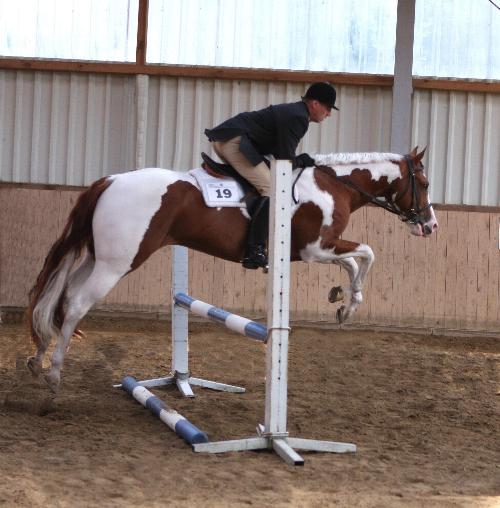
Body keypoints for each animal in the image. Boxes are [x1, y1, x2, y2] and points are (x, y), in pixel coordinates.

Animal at [27, 147, 438, 392]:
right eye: (425, 183)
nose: (430, 226)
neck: (332, 185)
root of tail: (108, 181)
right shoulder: (316, 247)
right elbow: (367, 254)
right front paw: (348, 303)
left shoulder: (319, 249)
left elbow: (355, 261)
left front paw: (341, 301)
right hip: (118, 262)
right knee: (77, 304)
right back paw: (54, 374)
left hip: (98, 258)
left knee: (61, 296)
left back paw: (39, 357)